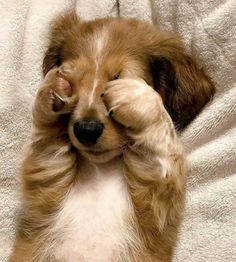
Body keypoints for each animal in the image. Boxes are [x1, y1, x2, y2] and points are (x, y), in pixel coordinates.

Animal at [10, 11, 214, 262]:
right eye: (75, 83)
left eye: (117, 76)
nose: (86, 130)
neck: (100, 171)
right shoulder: (46, 177)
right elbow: (47, 133)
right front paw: (53, 85)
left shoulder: (158, 193)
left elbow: (160, 136)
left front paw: (134, 94)